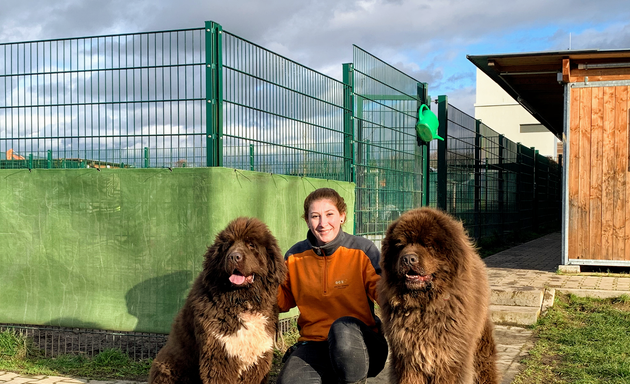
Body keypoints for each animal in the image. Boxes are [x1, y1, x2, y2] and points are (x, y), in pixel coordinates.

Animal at [149, 218, 288, 384]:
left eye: (251, 244)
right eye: (228, 245)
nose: (234, 257)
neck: (242, 302)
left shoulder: (258, 357)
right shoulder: (219, 355)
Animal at [378, 207, 502, 384]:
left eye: (428, 245)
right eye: (400, 245)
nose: (408, 259)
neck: (424, 307)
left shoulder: (448, 357)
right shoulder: (408, 360)